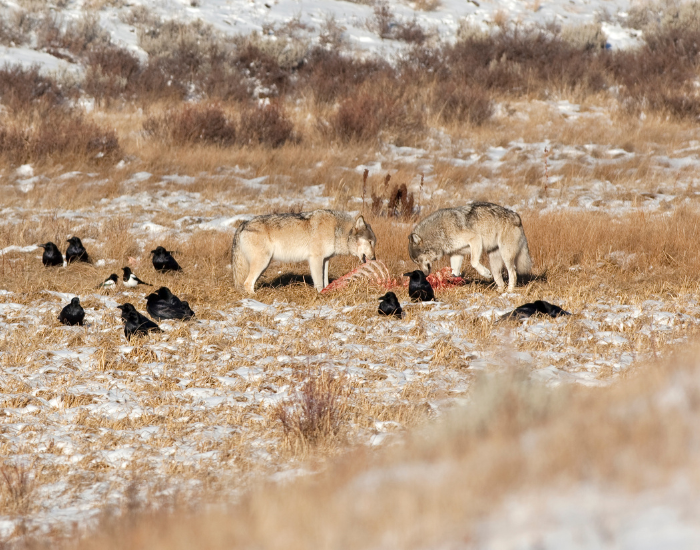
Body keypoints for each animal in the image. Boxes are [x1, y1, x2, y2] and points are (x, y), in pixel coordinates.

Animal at [231, 210, 376, 294]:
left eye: (374, 243)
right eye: (370, 242)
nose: (374, 259)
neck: (337, 230)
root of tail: (243, 224)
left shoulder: (325, 260)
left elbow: (325, 280)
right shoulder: (315, 259)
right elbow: (318, 281)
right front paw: (320, 294)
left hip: (264, 264)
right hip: (263, 262)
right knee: (247, 283)